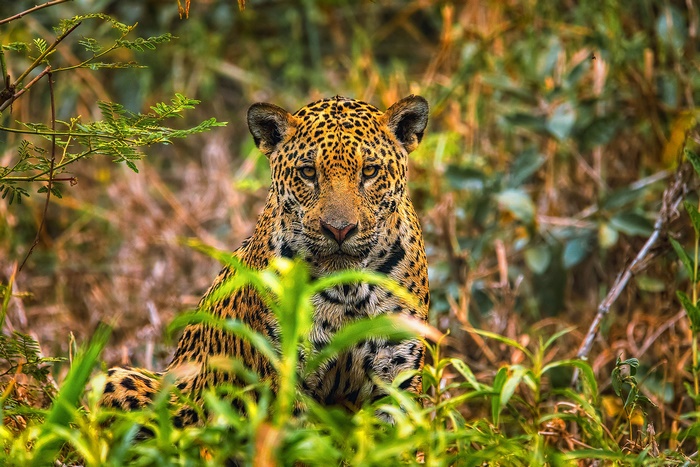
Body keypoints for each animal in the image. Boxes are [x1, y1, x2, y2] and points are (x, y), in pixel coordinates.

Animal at [100, 95, 430, 427]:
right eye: (308, 172)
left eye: (370, 171)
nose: (339, 229)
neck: (346, 289)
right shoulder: (285, 376)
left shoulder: (396, 374)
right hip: (122, 379)